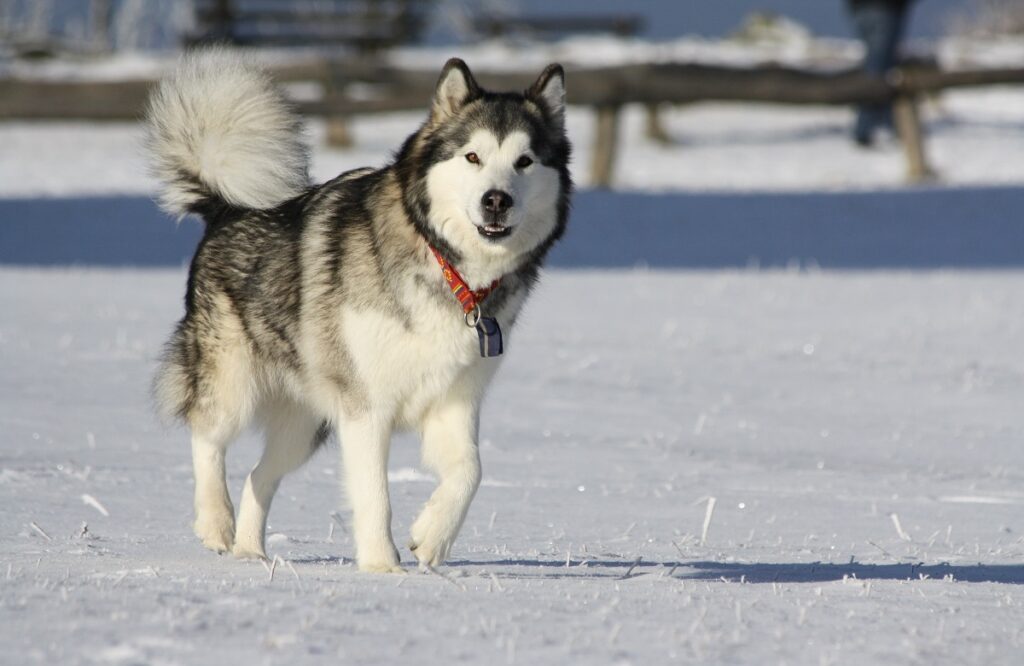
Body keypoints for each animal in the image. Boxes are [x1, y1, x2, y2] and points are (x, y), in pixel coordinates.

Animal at [146, 51, 569, 569]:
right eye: (473, 157)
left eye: (524, 161)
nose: (497, 200)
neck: (447, 266)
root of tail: (227, 208)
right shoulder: (366, 408)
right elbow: (374, 495)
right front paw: (383, 567)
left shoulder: (454, 400)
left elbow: (471, 471)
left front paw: (431, 537)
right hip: (233, 381)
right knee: (207, 435)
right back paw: (215, 522)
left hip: (306, 424)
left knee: (259, 475)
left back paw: (251, 552)